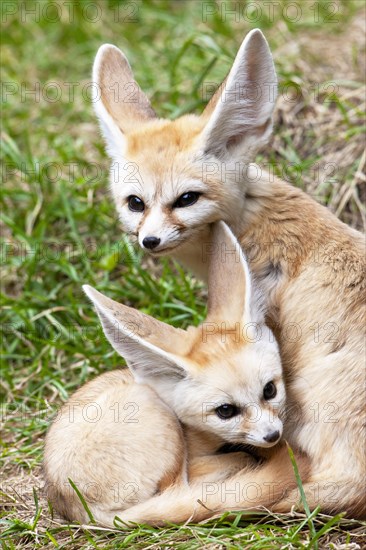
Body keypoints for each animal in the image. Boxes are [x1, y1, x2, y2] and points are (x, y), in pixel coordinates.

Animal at [44, 224, 308, 532]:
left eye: (269, 390)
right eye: (225, 411)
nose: (272, 436)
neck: (199, 434)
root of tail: (83, 510)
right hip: (154, 413)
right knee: (184, 490)